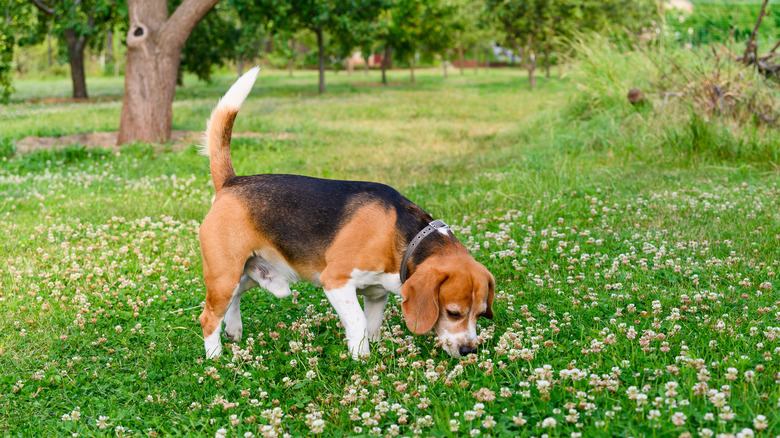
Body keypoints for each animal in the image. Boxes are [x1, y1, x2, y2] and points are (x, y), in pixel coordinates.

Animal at [198, 68, 496, 362]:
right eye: (453, 313)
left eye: (481, 313)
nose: (469, 351)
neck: (407, 236)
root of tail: (230, 182)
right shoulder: (336, 282)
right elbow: (358, 322)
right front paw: (360, 359)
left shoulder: (376, 294)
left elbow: (372, 325)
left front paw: (372, 355)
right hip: (224, 274)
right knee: (208, 317)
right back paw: (215, 357)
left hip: (247, 273)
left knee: (233, 300)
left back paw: (234, 330)